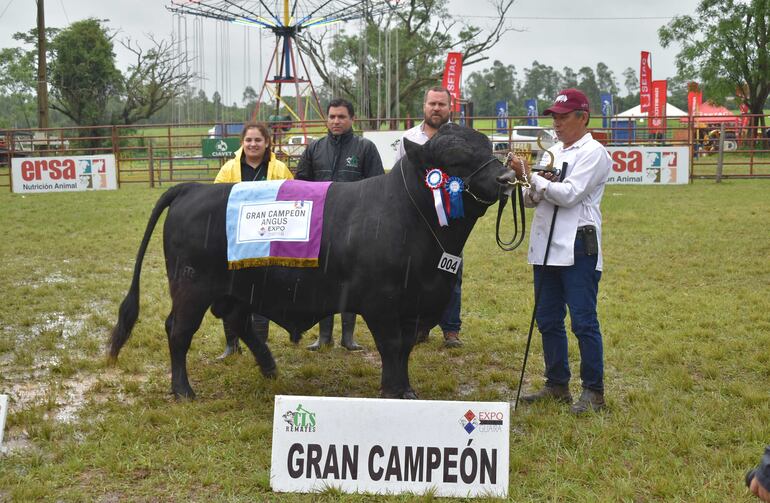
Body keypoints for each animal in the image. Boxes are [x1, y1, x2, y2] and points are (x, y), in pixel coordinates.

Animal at [108, 124, 516, 400]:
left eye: (489, 147)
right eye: (455, 159)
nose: (508, 177)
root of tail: (193, 188)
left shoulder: (417, 304)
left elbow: (404, 348)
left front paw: (404, 389)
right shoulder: (382, 302)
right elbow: (391, 346)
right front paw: (393, 390)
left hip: (238, 289)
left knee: (239, 323)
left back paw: (269, 367)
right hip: (191, 286)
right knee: (179, 331)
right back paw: (183, 390)